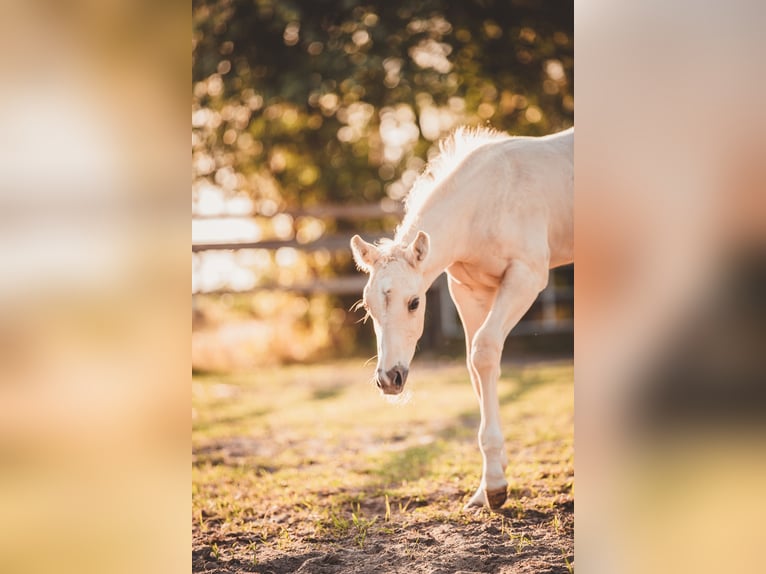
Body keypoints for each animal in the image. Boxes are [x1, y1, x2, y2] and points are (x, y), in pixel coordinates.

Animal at [350, 126, 573, 510]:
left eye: (414, 303)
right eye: (367, 307)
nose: (390, 379)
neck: (487, 201)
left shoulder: (526, 277)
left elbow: (484, 351)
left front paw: (496, 484)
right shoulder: (469, 291)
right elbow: (476, 366)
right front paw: (486, 489)